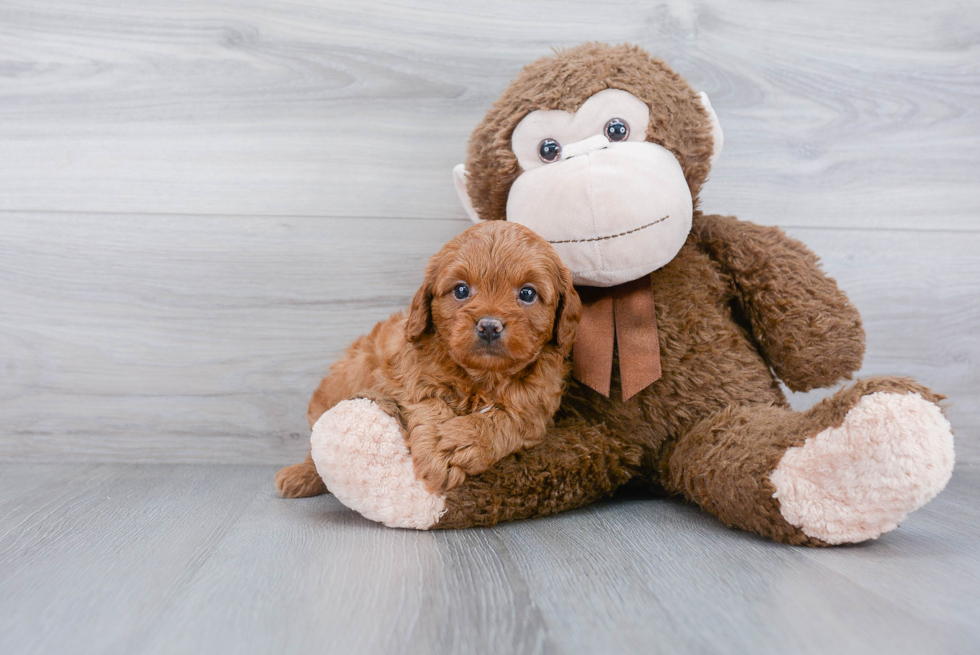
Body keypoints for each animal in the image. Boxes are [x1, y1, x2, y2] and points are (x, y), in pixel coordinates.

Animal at [274, 220, 580, 498]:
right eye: (461, 290)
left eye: (527, 293)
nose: (489, 326)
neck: (482, 376)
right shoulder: (403, 375)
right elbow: (429, 401)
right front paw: (436, 449)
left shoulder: (537, 406)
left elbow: (510, 418)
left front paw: (464, 441)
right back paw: (299, 476)